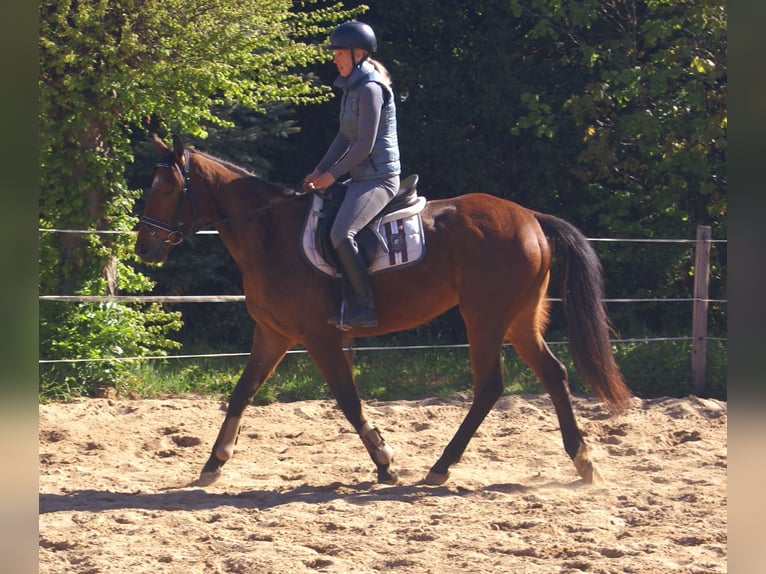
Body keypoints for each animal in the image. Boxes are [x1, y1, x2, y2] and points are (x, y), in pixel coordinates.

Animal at [135, 134, 632, 487]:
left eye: (167, 188)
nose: (144, 248)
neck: (270, 233)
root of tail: (530, 217)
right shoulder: (272, 334)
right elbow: (242, 393)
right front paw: (214, 462)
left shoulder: (320, 338)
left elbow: (349, 401)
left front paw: (385, 462)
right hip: (519, 320)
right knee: (553, 374)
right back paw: (582, 461)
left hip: (485, 319)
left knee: (490, 385)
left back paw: (441, 466)